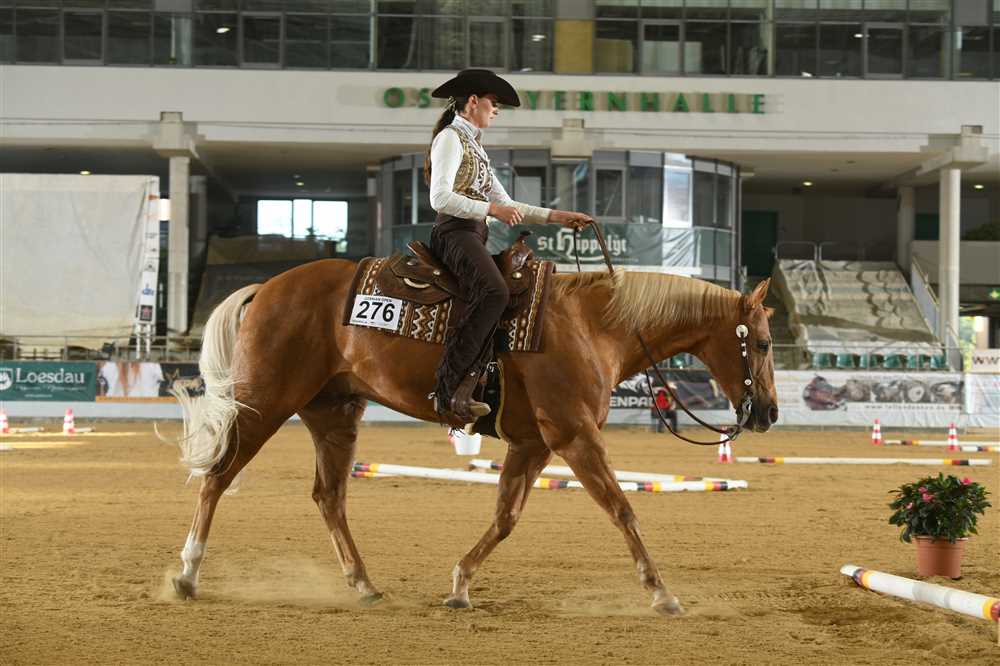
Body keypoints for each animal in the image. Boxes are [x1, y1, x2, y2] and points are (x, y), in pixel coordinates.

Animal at [169, 258, 777, 615]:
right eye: (766, 343)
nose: (769, 412)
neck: (592, 325)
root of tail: (267, 287)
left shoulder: (534, 444)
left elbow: (506, 517)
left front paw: (460, 584)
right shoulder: (574, 435)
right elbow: (623, 509)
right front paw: (661, 592)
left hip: (334, 412)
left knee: (328, 496)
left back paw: (363, 583)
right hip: (265, 401)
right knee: (216, 477)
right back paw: (187, 575)